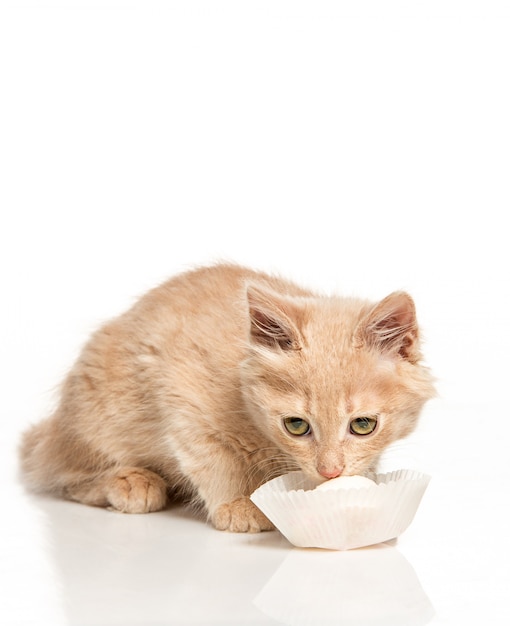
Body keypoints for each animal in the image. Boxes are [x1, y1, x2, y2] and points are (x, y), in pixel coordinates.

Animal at [19, 260, 434, 528]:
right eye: (296, 426)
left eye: (363, 425)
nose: (329, 471)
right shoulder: (181, 398)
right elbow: (215, 461)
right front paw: (237, 504)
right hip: (97, 417)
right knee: (61, 472)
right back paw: (131, 483)